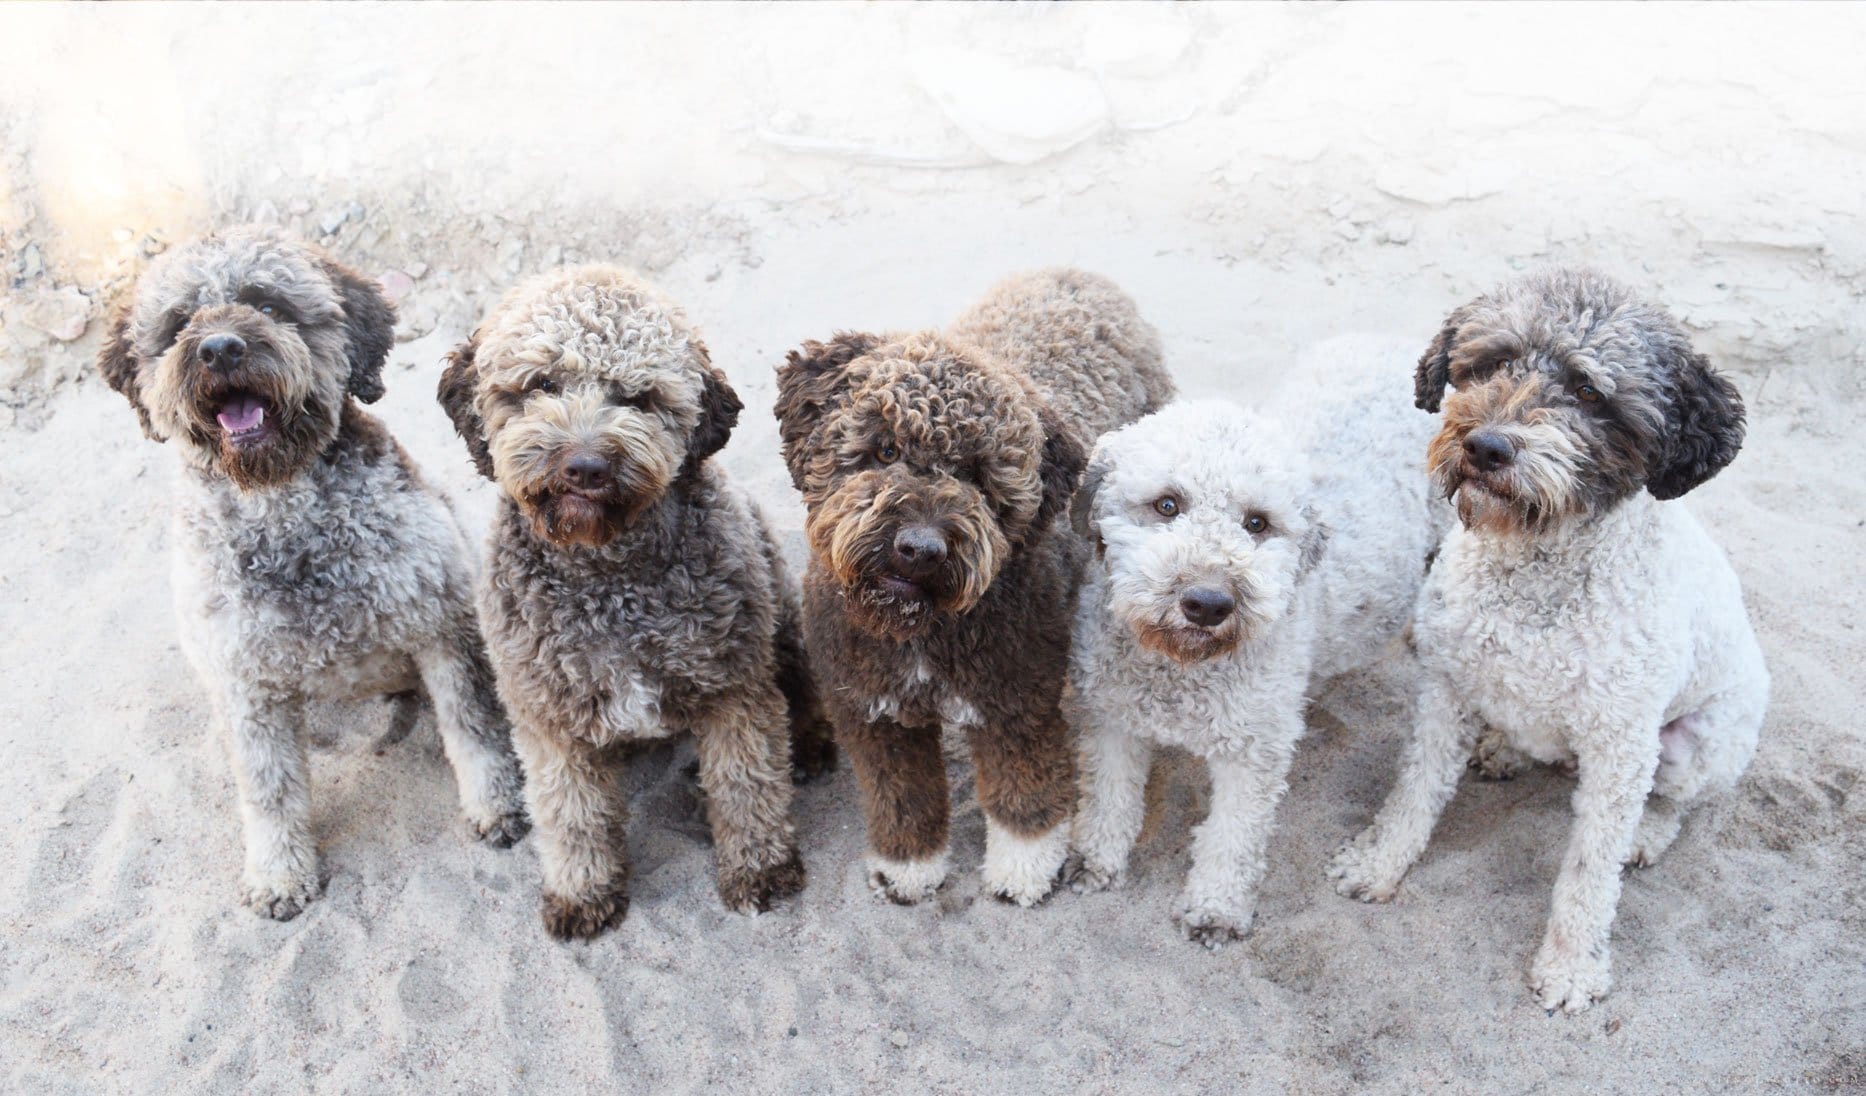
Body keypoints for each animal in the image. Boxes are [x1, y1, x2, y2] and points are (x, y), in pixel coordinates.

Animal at [436, 268, 832, 944]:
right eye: (541, 384)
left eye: (640, 398)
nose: (585, 466)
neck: (608, 577)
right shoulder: (549, 719)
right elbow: (570, 814)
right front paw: (582, 893)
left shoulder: (734, 689)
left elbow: (746, 784)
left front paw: (759, 868)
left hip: (778, 620)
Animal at [772, 268, 1164, 907]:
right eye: (885, 448)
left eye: (979, 476)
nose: (920, 548)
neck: (920, 633)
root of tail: (1077, 275)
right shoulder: (871, 710)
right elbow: (902, 798)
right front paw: (908, 867)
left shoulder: (1017, 698)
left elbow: (1023, 793)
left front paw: (1024, 871)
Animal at [1067, 337, 1440, 948]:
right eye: (1167, 504)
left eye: (1257, 523)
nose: (1208, 602)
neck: (1183, 668)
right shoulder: (1110, 717)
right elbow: (1108, 796)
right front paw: (1095, 860)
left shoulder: (1255, 749)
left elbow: (1232, 836)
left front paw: (1215, 908)